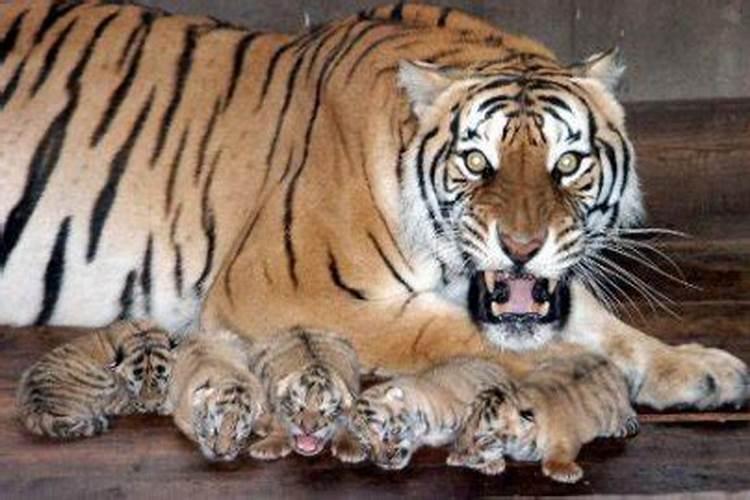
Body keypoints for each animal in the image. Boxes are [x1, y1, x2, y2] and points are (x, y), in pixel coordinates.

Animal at [17, 320, 174, 439]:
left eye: (163, 378)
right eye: (133, 384)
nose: (151, 407)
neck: (139, 333)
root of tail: (39, 410)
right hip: (106, 383)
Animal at [246, 327, 363, 461]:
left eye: (324, 412)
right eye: (299, 408)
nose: (308, 430)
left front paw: (349, 445)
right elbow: (279, 421)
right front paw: (269, 445)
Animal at [447, 346, 639, 483]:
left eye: (483, 437)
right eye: (464, 425)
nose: (458, 449)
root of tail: (610, 363)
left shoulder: (567, 437)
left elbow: (561, 452)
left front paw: (565, 471)